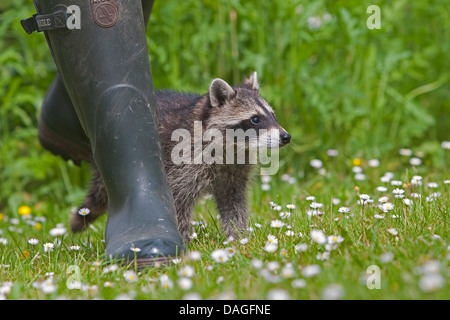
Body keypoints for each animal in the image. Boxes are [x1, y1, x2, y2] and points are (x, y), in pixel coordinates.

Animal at [68, 72, 290, 241]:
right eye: (255, 119)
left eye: (273, 115)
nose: (286, 137)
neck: (233, 147)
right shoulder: (182, 163)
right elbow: (177, 202)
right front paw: (184, 242)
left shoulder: (234, 172)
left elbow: (234, 203)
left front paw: (238, 237)